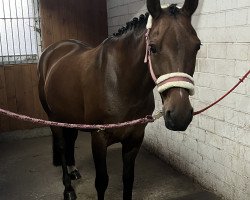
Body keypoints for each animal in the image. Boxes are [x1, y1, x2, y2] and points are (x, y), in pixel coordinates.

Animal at [38, 0, 200, 199]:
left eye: (197, 46)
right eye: (153, 47)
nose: (179, 115)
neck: (118, 81)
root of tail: (53, 51)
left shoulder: (134, 138)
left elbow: (128, 178)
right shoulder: (99, 138)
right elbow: (101, 182)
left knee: (71, 140)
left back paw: (73, 170)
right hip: (53, 117)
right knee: (61, 146)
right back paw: (68, 189)